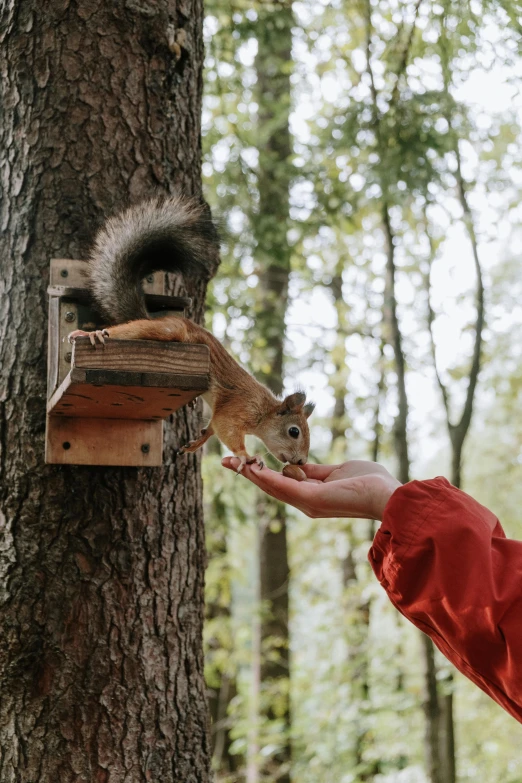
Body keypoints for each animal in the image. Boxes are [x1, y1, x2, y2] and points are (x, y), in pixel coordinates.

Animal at [66, 196, 310, 472]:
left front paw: (196, 442)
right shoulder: (238, 408)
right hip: (169, 330)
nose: (302, 461)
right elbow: (226, 428)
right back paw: (93, 333)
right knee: (129, 329)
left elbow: (213, 427)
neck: (264, 412)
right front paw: (246, 456)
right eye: (294, 431)